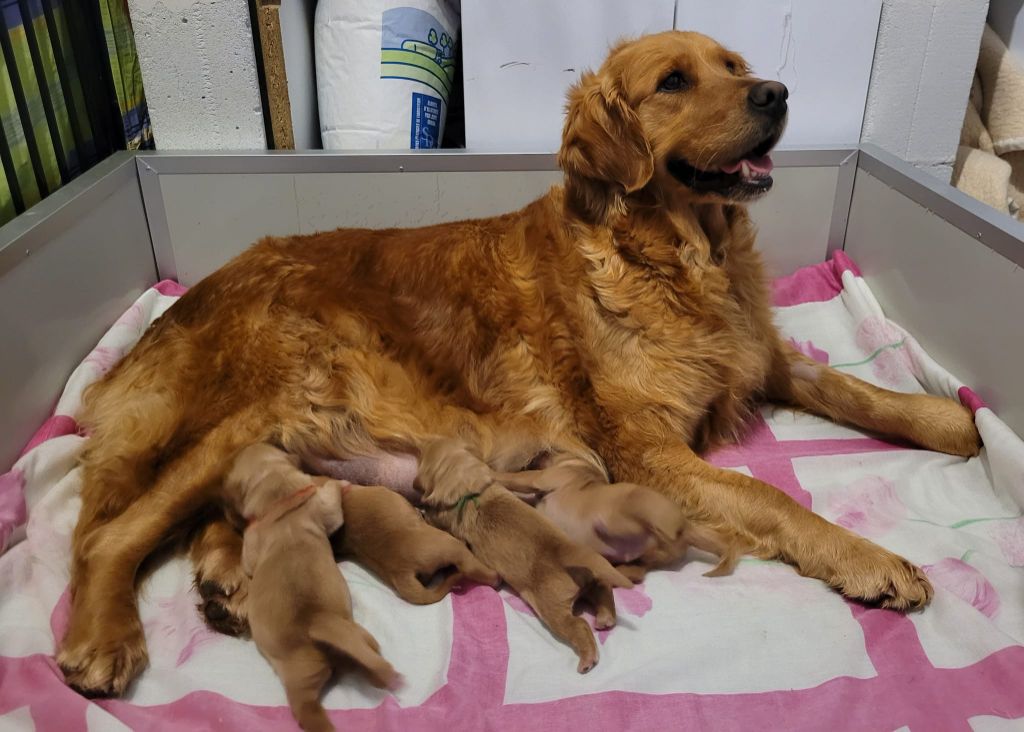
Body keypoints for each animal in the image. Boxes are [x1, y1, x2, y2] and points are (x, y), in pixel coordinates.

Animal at [224, 444, 395, 732]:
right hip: (360, 638)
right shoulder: (323, 510)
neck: (282, 501)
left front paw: (339, 482)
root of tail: (316, 623)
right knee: (369, 657)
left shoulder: (252, 542)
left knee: (306, 708)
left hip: (299, 677)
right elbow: (333, 507)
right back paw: (379, 675)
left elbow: (247, 562)